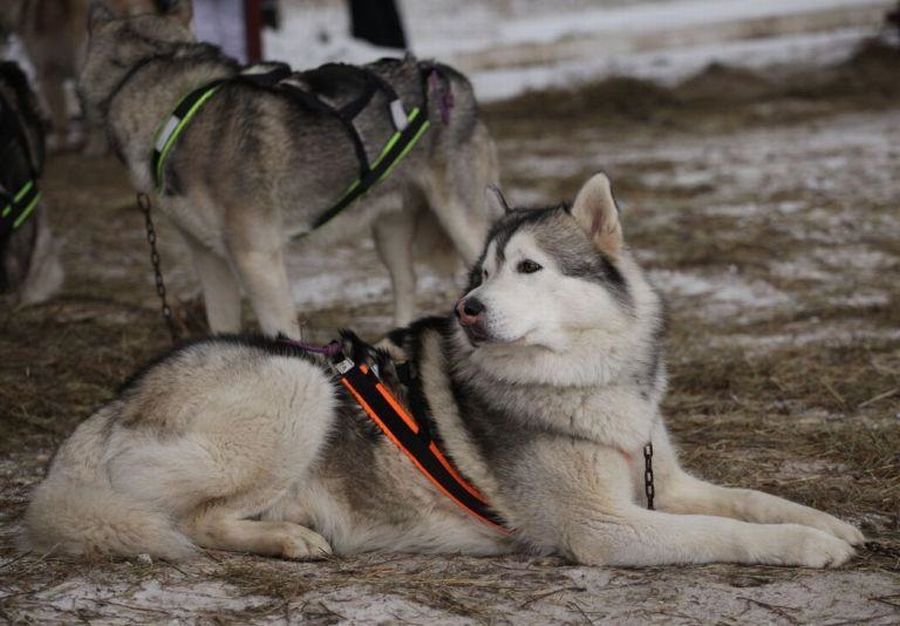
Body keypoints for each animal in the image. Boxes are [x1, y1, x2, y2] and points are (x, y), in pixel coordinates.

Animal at [24, 174, 860, 564]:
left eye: (527, 268)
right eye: (478, 274)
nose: (468, 310)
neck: (582, 383)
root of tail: (112, 404)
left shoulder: (665, 482)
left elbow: (753, 500)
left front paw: (834, 524)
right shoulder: (606, 526)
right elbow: (728, 530)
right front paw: (805, 548)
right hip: (297, 387)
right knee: (192, 521)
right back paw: (288, 540)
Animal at [77, 2, 500, 334]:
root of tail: (447, 74)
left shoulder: (257, 260)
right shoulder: (209, 259)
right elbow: (221, 328)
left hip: (461, 225)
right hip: (387, 230)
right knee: (407, 282)